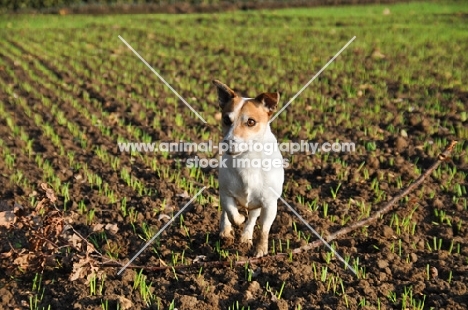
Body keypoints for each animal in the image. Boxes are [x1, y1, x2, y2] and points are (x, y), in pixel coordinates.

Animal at [213, 80, 286, 256]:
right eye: (226, 119)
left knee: (253, 218)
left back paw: (246, 237)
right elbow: (231, 212)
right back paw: (226, 231)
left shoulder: (269, 203)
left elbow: (264, 228)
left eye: (251, 122)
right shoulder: (225, 192)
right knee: (227, 213)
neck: (247, 159)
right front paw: (237, 220)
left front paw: (260, 249)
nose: (228, 142)